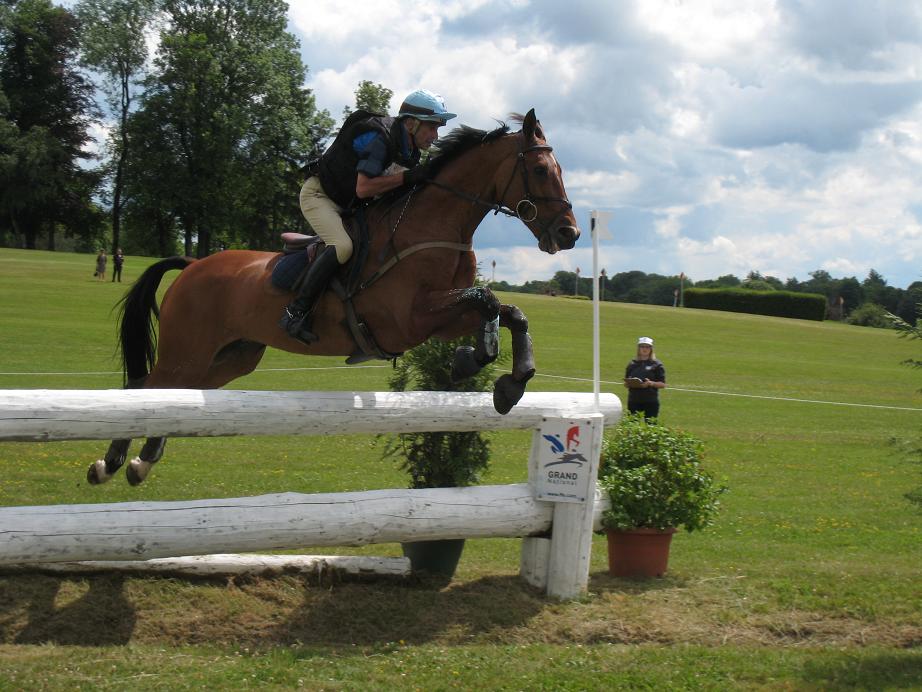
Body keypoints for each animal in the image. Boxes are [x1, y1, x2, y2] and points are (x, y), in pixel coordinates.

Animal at [86, 109, 576, 486]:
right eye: (539, 170)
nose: (568, 234)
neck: (434, 224)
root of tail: (193, 265)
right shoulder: (410, 319)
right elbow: (488, 301)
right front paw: (478, 363)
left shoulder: (438, 318)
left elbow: (508, 309)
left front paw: (505, 379)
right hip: (186, 349)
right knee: (144, 387)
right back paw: (109, 464)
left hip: (231, 357)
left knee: (175, 396)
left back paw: (141, 462)